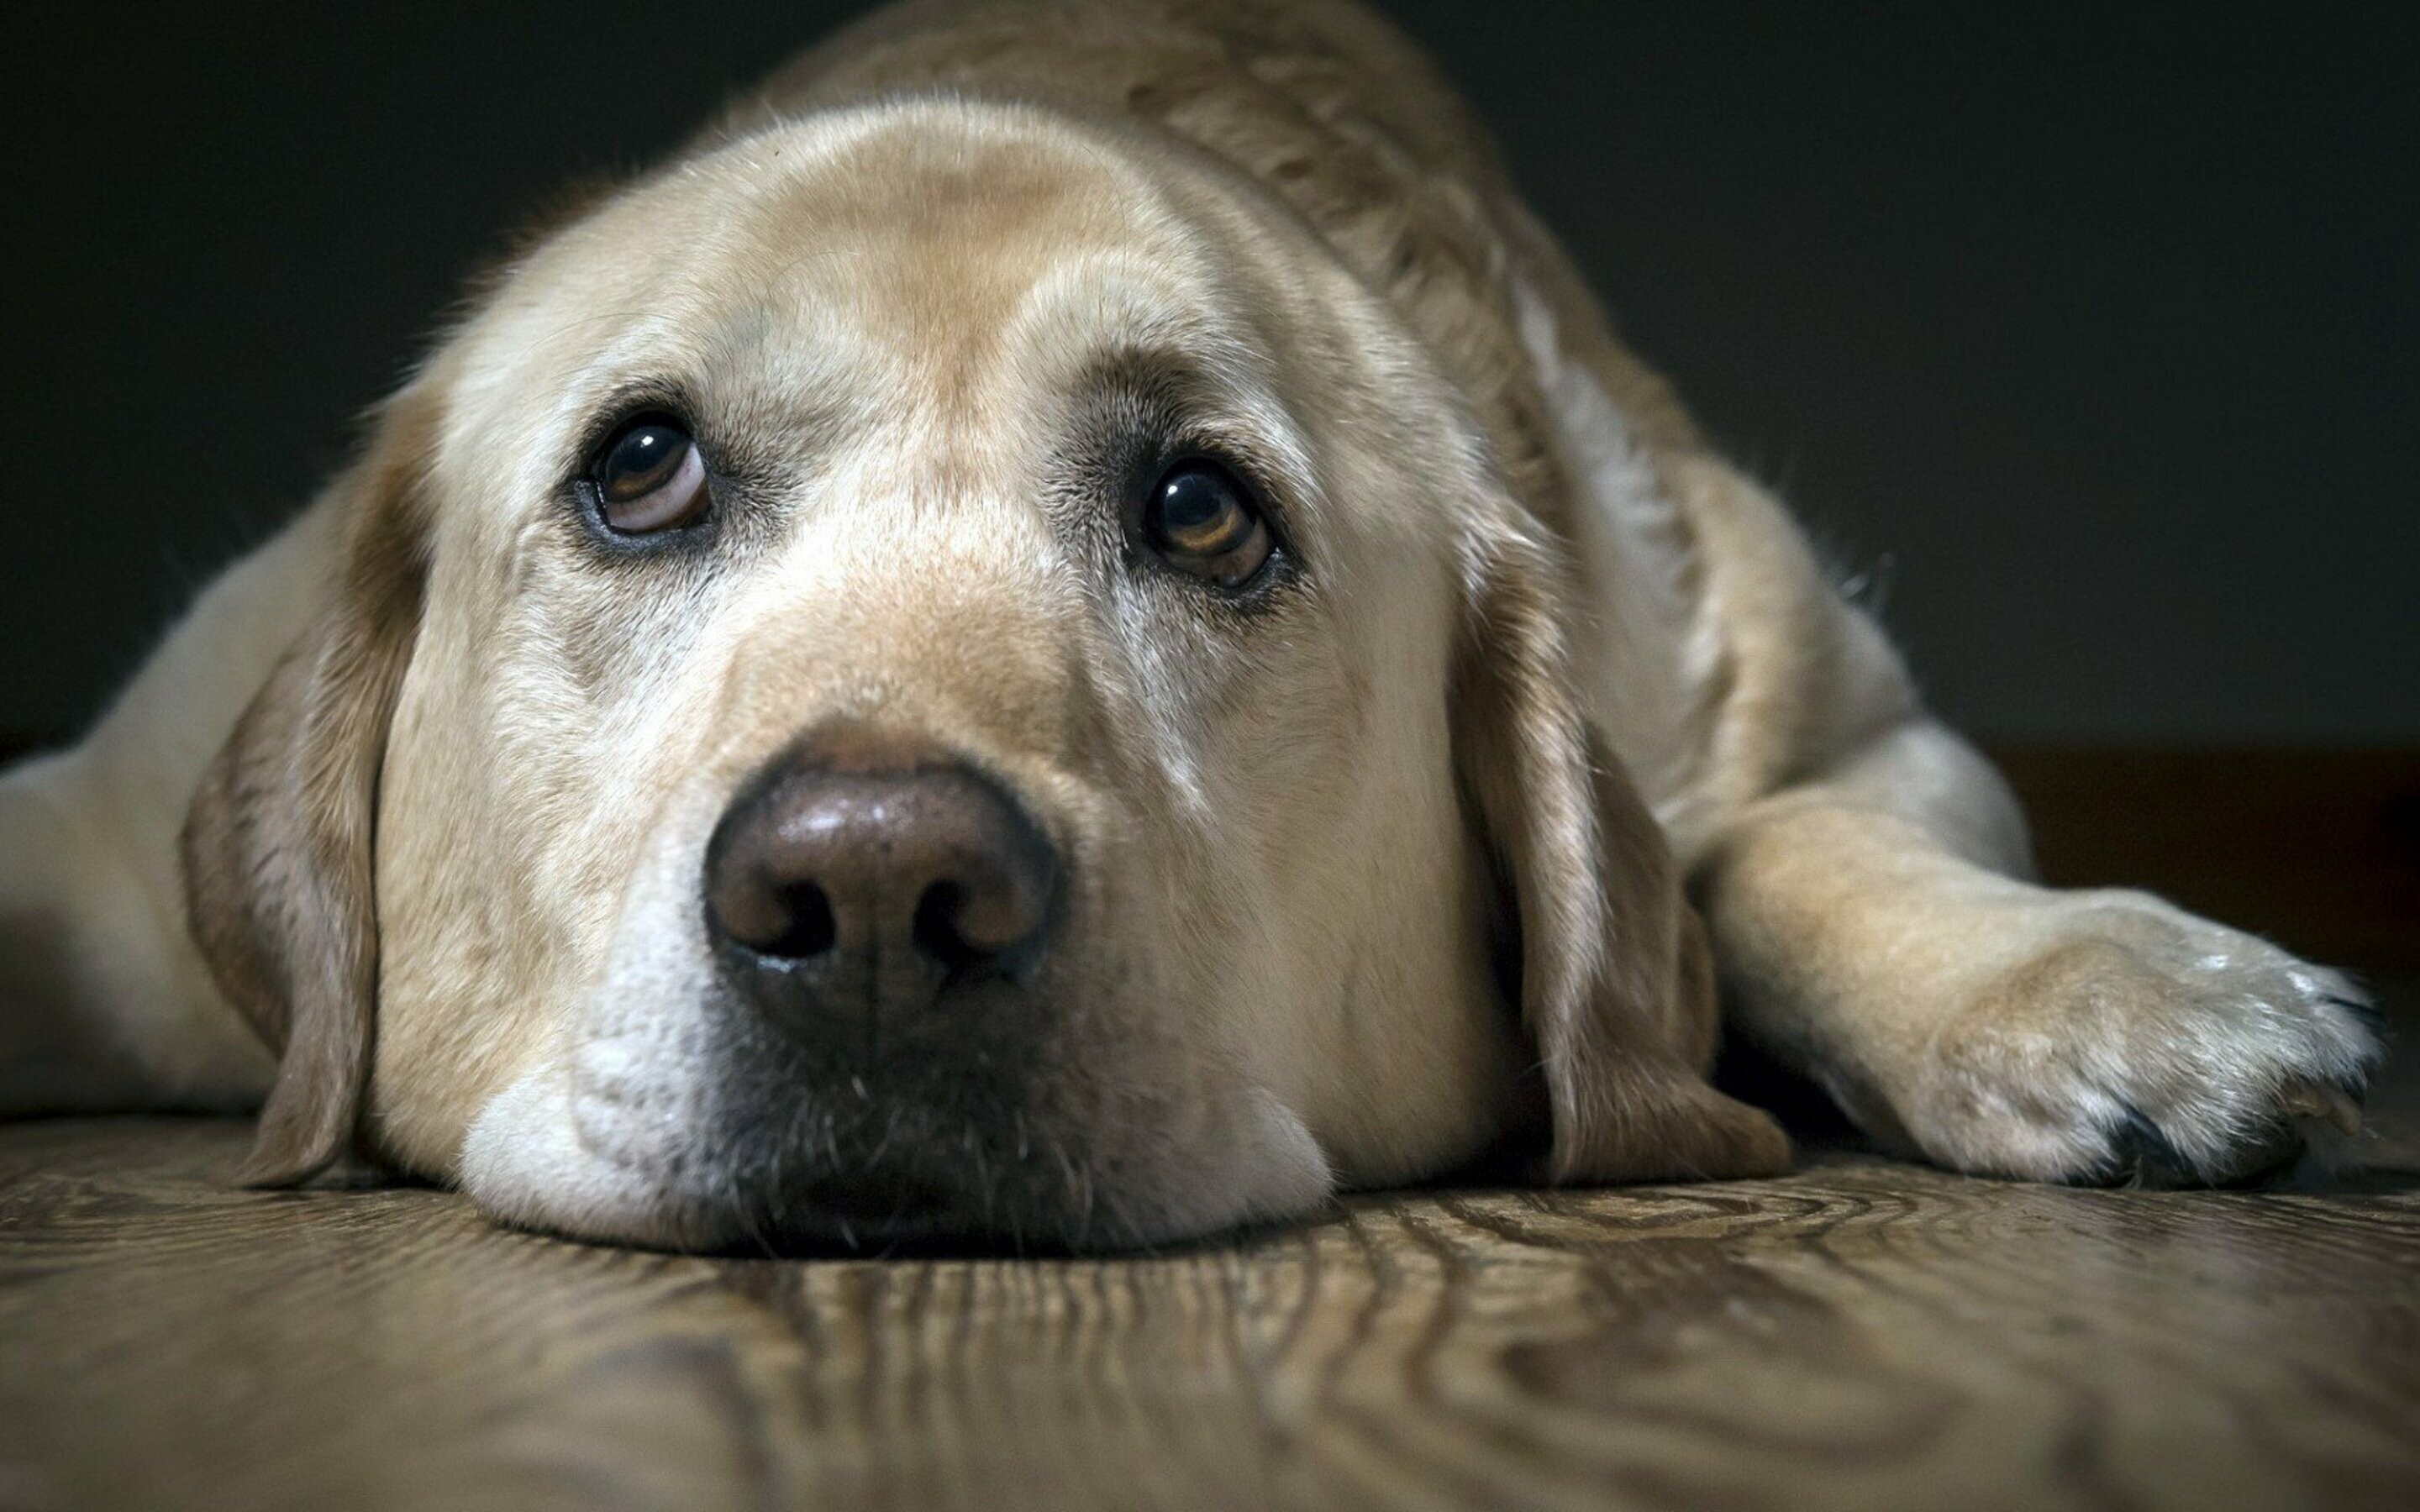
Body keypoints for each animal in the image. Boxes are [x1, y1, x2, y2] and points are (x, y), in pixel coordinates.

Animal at [0, 3, 2381, 1248]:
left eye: (1203, 516)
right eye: (640, 470)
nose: (878, 901)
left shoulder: (1859, 716)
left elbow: (1772, 842)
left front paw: (2105, 989)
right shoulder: (96, 836)